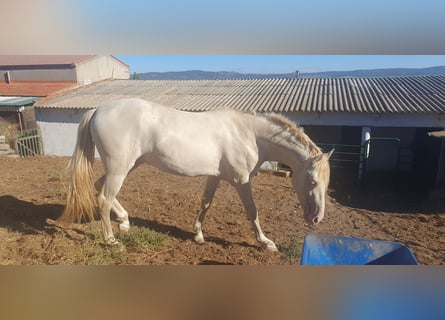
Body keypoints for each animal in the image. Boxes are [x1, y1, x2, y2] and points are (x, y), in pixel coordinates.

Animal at [62, 97, 332, 250]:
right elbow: (252, 211)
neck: (248, 134)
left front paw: (199, 234)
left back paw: (125, 221)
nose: (317, 218)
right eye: (312, 180)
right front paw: (266, 242)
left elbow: (206, 203)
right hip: (119, 168)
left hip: (128, 165)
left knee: (100, 186)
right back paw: (111, 241)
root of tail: (98, 109)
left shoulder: (215, 176)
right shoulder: (241, 180)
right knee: (103, 200)